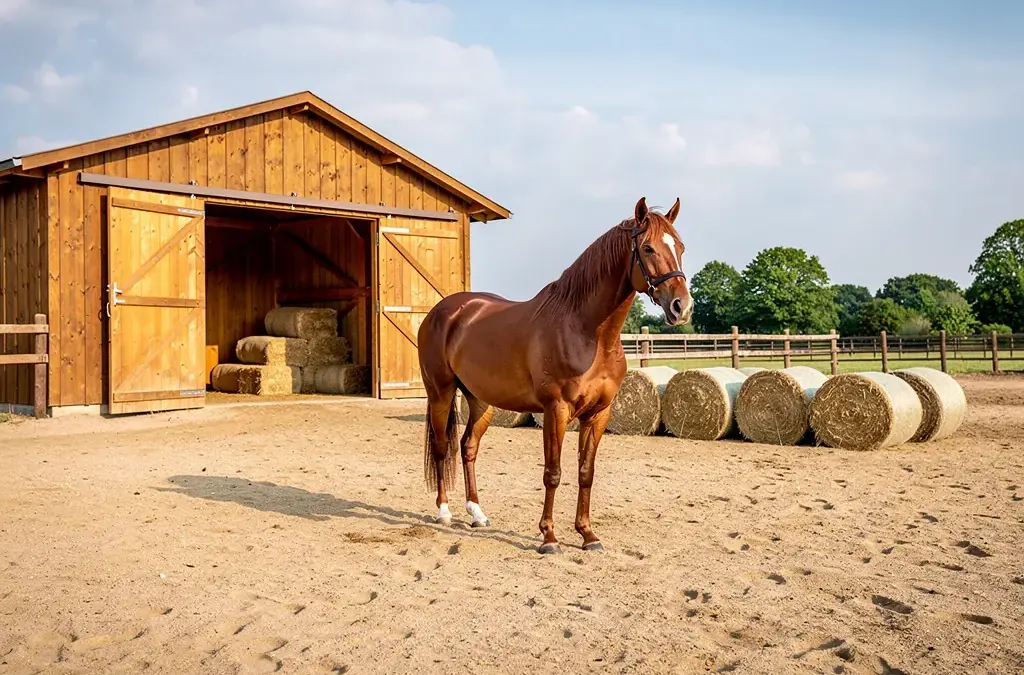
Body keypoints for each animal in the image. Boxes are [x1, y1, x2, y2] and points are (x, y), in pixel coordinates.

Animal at [416, 196, 693, 554]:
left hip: (480, 401)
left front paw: (588, 535)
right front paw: (549, 537)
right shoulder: (555, 410)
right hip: (440, 392)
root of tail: (443, 311)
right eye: (647, 248)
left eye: (680, 247)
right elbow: (553, 472)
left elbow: (586, 472)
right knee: (441, 447)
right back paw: (444, 512)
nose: (681, 307)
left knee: (467, 447)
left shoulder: (598, 414)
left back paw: (477, 514)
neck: (586, 331)